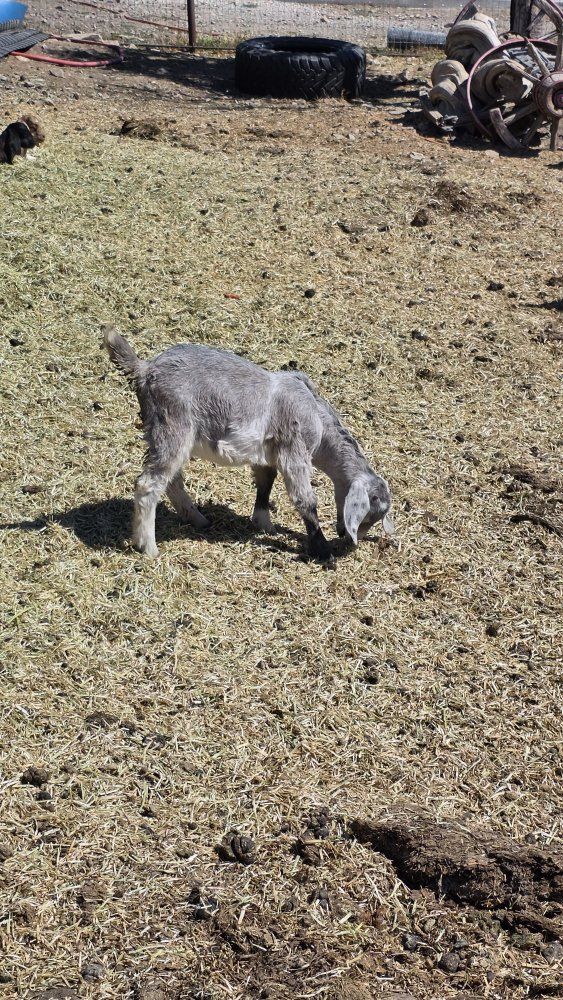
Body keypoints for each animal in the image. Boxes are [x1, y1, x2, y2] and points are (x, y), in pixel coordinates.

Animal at [103, 328, 394, 561]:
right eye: (370, 515)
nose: (349, 540)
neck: (318, 420)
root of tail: (145, 369)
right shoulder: (294, 450)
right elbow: (305, 499)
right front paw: (322, 551)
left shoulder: (267, 454)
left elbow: (266, 483)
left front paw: (264, 524)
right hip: (173, 425)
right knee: (149, 483)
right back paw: (148, 547)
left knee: (172, 480)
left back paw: (197, 519)